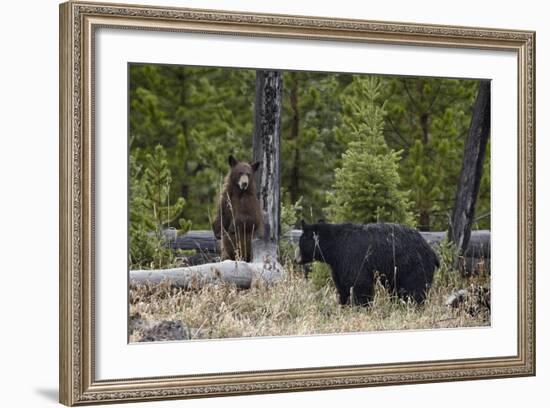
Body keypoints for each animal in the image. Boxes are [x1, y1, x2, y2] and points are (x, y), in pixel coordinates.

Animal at [298, 222, 440, 304]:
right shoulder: (338, 265)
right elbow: (342, 285)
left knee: (414, 289)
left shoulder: (353, 257)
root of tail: (432, 252)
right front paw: (344, 304)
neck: (335, 248)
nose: (296, 258)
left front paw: (362, 306)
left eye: (301, 242)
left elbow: (360, 283)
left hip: (413, 266)